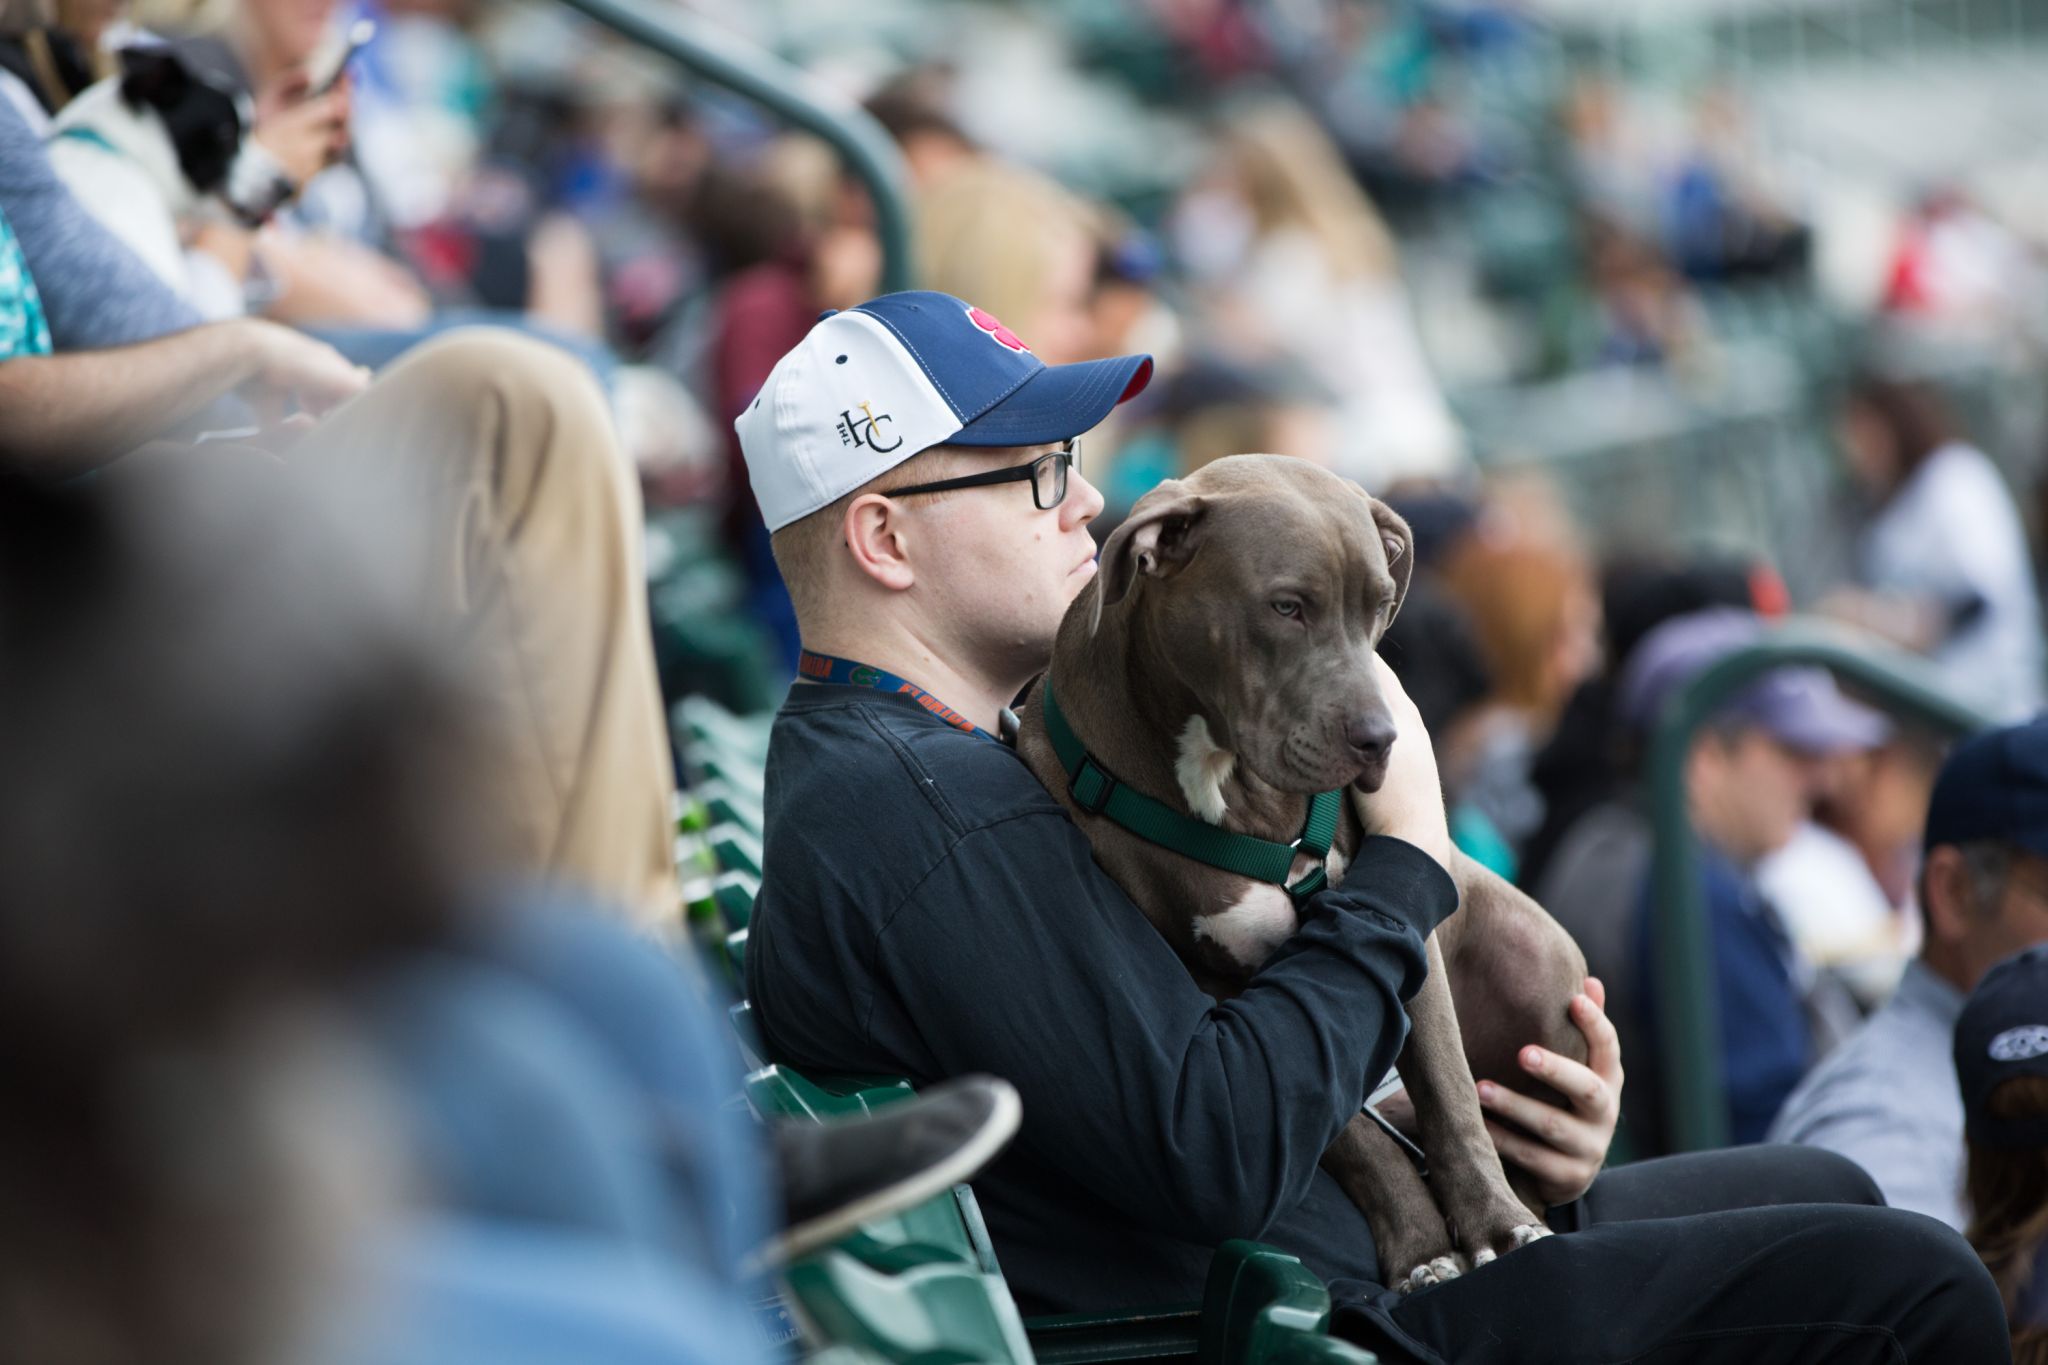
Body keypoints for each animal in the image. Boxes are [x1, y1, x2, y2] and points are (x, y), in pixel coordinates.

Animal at [1015, 456, 1589, 1293]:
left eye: (1379, 607)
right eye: (1287, 606)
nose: (1382, 736)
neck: (1225, 774)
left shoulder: (1403, 938)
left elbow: (1448, 1089)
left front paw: (1497, 1225)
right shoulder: (1224, 991)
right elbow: (1347, 1129)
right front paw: (1422, 1246)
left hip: (1543, 967)